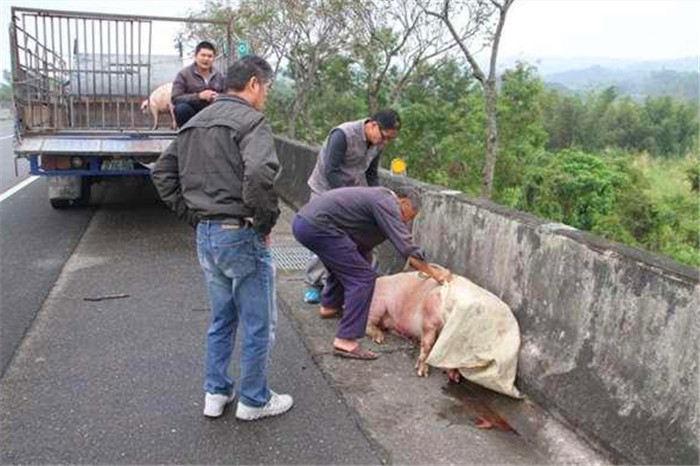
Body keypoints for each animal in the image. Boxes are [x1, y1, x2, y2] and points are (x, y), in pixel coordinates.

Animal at [8, 6, 232, 208]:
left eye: (143, 107)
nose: (142, 110)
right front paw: (161, 127)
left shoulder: (157, 108)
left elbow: (160, 118)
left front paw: (157, 127)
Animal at [366, 272, 520, 398]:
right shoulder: (429, 317)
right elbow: (428, 343)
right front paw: (422, 373)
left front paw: (455, 378)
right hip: (377, 304)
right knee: (368, 323)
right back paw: (380, 339)